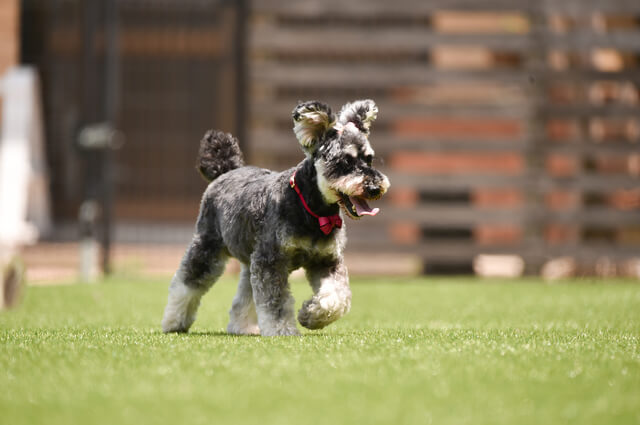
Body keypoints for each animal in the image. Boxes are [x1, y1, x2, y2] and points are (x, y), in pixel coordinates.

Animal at [160, 99, 390, 334]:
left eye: (369, 160)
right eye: (344, 162)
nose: (374, 187)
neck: (311, 210)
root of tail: (226, 171)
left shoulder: (327, 261)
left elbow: (337, 298)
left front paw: (311, 315)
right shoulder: (270, 261)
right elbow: (275, 303)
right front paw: (282, 330)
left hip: (250, 259)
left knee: (245, 294)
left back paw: (242, 327)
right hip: (207, 247)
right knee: (186, 284)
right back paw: (173, 322)